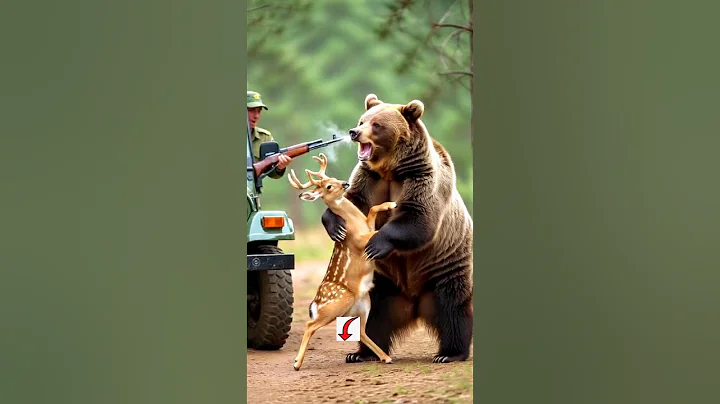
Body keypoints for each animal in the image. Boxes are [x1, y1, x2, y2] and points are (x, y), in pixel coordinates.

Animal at [321, 93, 473, 364]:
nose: (354, 132)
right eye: (362, 120)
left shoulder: (420, 177)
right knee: (374, 316)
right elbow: (353, 202)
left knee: (452, 305)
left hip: (446, 263)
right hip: (382, 281)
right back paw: (362, 353)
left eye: (377, 125)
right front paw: (336, 226)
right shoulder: (369, 179)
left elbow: (417, 217)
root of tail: (414, 302)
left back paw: (450, 353)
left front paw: (375, 243)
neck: (391, 169)